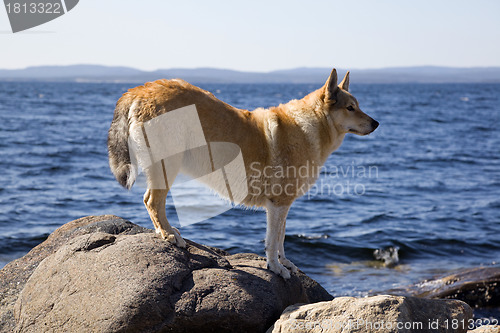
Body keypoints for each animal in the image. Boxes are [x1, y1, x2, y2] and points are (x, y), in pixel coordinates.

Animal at [107, 68, 376, 278]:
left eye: (358, 106)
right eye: (350, 108)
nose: (376, 123)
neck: (310, 126)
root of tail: (140, 89)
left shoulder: (283, 205)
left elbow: (281, 239)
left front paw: (285, 263)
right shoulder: (278, 203)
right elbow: (271, 242)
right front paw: (276, 268)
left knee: (152, 201)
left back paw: (169, 231)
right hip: (167, 165)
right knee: (152, 201)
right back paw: (168, 235)